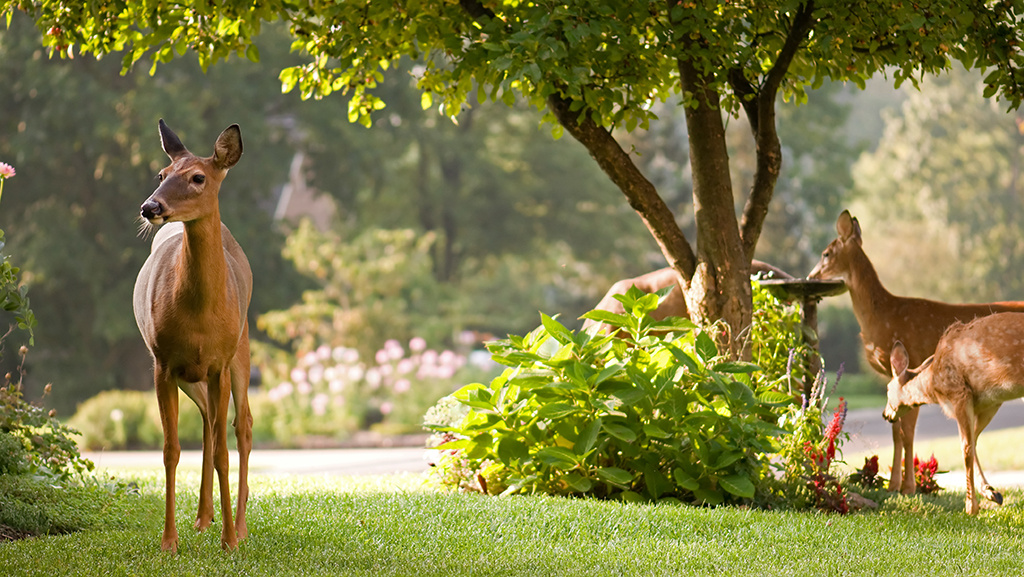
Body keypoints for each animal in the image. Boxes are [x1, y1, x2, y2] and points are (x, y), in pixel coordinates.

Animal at [134, 119, 253, 553]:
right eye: (162, 174)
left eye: (198, 177)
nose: (150, 208)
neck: (200, 314)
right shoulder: (162, 363)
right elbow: (171, 450)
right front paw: (169, 541)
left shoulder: (220, 361)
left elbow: (223, 451)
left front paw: (230, 542)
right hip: (190, 375)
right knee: (206, 422)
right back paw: (204, 517)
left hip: (242, 349)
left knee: (242, 426)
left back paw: (239, 525)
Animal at [880, 313, 1024, 516]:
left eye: (887, 389)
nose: (885, 414)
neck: (933, 383)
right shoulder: (990, 402)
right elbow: (974, 442)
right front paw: (991, 493)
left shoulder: (959, 394)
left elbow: (966, 449)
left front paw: (971, 507)